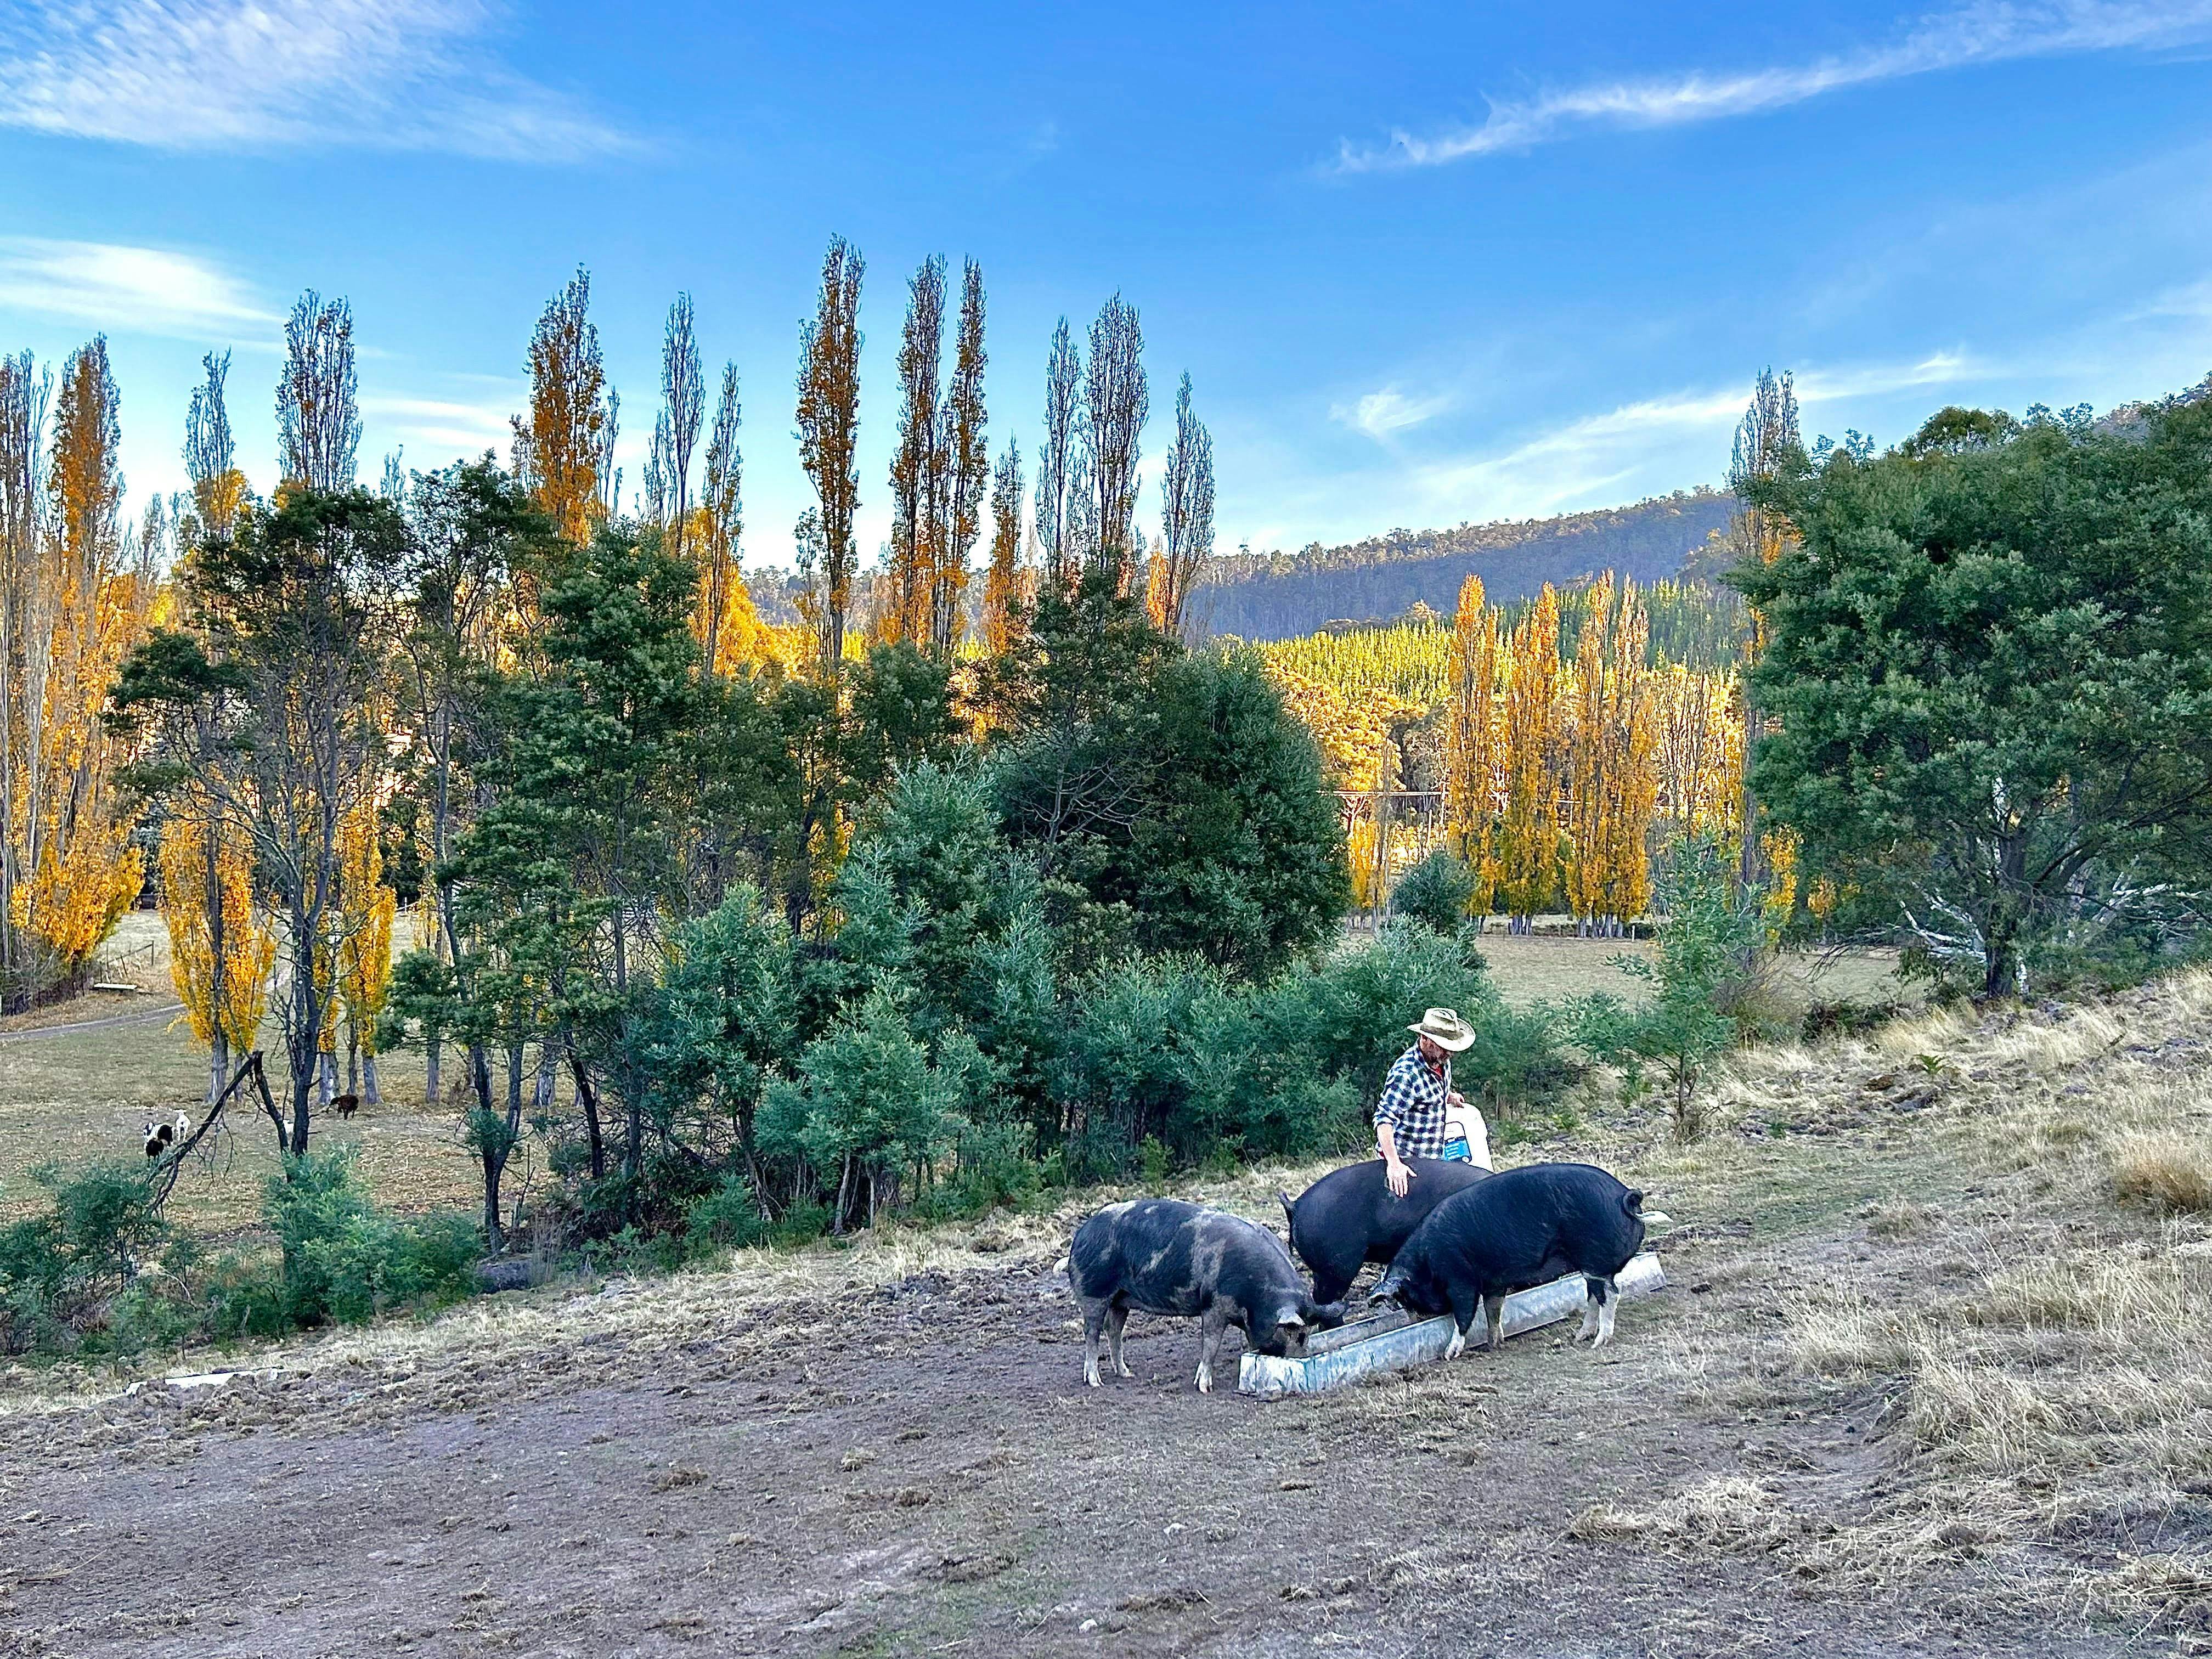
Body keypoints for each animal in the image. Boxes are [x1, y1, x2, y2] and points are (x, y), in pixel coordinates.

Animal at [1067, 1199, 1347, 1393]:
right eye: (1297, 1335)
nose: (1299, 1359)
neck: (1257, 1294)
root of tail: (1080, 1236)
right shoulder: (1214, 1305)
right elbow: (1211, 1343)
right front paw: (1205, 1388)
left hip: (1121, 1298)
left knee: (1114, 1330)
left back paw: (1126, 1374)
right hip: (1094, 1291)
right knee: (1092, 1332)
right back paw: (1096, 1382)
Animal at [1367, 1162, 1649, 1359]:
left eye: (1406, 1295)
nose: (1419, 1317)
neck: (1426, 1261)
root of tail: (1624, 1196)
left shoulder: (1460, 1278)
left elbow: (1465, 1314)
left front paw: (1450, 1354)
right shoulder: (1494, 1281)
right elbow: (1494, 1308)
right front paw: (1494, 1343)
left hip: (1595, 1261)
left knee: (1610, 1295)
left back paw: (1599, 1342)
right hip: (1591, 1267)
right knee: (1593, 1296)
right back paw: (1580, 1337)